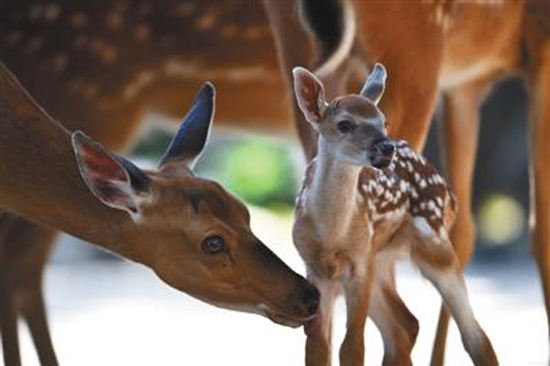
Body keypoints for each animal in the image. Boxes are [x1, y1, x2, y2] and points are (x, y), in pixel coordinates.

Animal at [294, 64, 500, 364]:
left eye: (384, 122)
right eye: (344, 124)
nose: (386, 146)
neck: (331, 235)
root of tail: (450, 196)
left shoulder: (360, 263)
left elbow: (352, 347)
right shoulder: (316, 268)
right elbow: (317, 348)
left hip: (434, 243)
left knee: (475, 335)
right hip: (381, 259)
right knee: (404, 325)